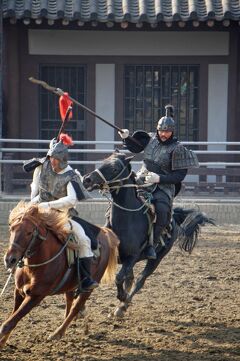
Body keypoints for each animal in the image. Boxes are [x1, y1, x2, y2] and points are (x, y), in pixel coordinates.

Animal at [0, 201, 119, 348]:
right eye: (11, 229)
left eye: (29, 232)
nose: (9, 259)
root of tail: (104, 233)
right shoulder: (19, 292)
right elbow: (11, 321)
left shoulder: (36, 296)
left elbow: (8, 324)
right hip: (70, 286)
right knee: (70, 304)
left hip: (89, 287)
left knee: (75, 307)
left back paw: (58, 333)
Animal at [83, 150, 215, 316]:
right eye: (103, 162)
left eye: (114, 168)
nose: (87, 180)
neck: (127, 219)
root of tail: (174, 218)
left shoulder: (132, 257)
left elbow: (119, 278)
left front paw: (122, 297)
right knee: (131, 279)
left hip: (156, 259)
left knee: (139, 280)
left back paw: (123, 305)